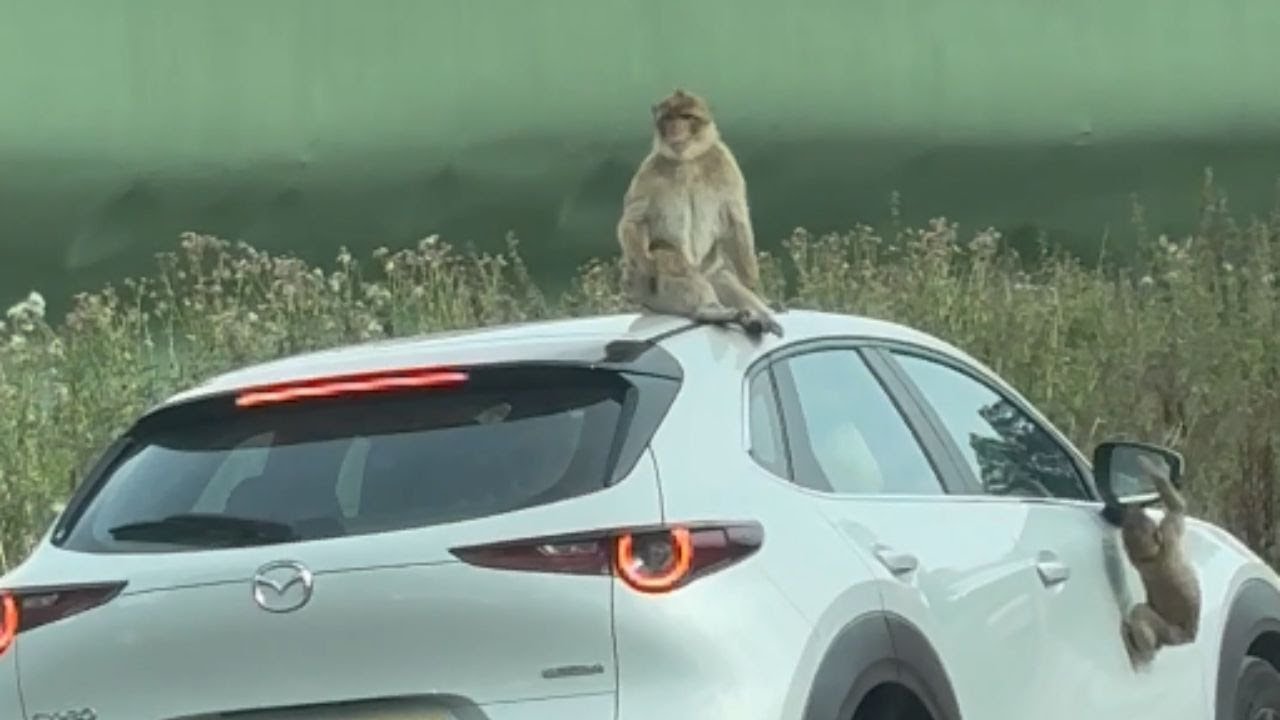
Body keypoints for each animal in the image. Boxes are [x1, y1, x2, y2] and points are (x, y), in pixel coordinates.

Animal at [616, 88, 783, 338]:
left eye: (685, 117)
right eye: (668, 118)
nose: (674, 128)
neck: (688, 159)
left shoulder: (725, 161)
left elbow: (736, 220)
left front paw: (758, 292)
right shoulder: (649, 170)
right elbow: (633, 221)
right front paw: (646, 265)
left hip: (707, 270)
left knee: (721, 277)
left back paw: (758, 315)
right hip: (652, 294)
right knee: (667, 255)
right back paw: (709, 309)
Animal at [1101, 454, 1200, 668]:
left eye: (1140, 520)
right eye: (1134, 521)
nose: (1131, 508)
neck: (1152, 554)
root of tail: (1190, 636)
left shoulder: (1166, 536)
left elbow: (1178, 506)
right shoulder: (1168, 534)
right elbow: (1178, 507)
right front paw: (1155, 468)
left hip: (1173, 636)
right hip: (1172, 633)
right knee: (1141, 612)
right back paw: (1141, 648)